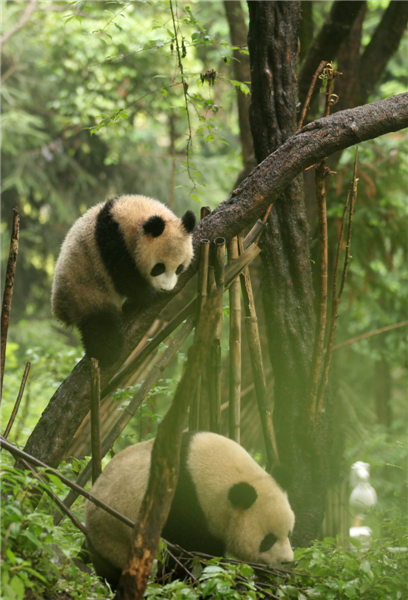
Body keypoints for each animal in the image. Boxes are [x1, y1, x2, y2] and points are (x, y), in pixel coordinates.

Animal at [51, 196, 196, 366]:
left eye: (179, 268)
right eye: (159, 268)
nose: (165, 289)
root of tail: (62, 312)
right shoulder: (111, 242)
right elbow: (126, 279)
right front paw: (151, 295)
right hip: (84, 292)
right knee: (100, 324)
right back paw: (107, 353)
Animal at [85, 432, 294, 584]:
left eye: (289, 533)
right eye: (268, 540)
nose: (286, 562)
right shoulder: (183, 504)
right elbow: (189, 555)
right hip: (113, 540)